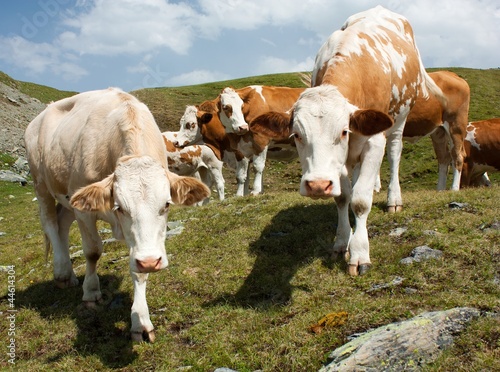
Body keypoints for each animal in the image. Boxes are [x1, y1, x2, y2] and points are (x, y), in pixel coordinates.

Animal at [24, 88, 209, 342]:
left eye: (166, 205)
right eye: (120, 207)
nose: (151, 261)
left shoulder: (140, 242)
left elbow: (139, 271)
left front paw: (141, 322)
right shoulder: (84, 211)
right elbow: (92, 251)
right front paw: (91, 292)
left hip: (67, 197)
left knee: (61, 224)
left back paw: (69, 275)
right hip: (40, 183)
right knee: (50, 222)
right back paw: (61, 272)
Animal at [250, 6, 446, 276]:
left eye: (343, 131)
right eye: (297, 135)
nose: (318, 185)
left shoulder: (374, 141)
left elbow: (361, 201)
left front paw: (359, 253)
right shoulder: (339, 162)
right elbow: (343, 197)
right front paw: (343, 241)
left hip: (400, 118)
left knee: (394, 153)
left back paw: (393, 199)